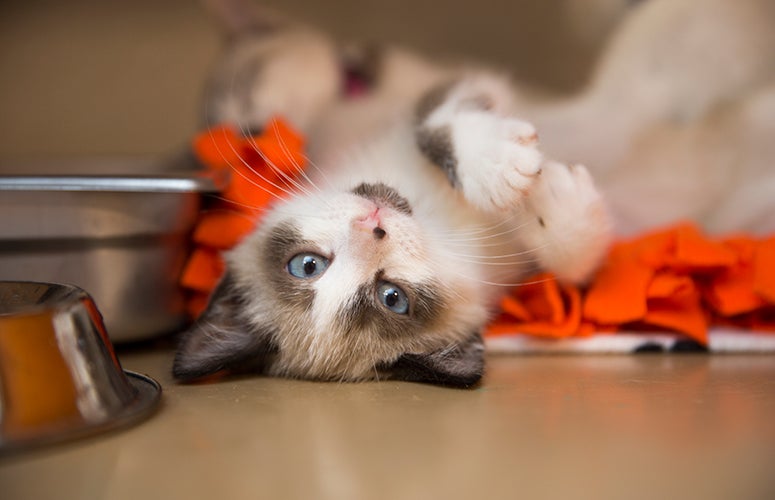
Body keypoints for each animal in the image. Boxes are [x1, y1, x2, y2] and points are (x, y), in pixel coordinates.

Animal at [171, 0, 612, 386]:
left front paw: (494, 162)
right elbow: (577, 269)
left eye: (306, 264)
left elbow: (434, 119)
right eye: (393, 297)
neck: (434, 217)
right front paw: (552, 200)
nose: (374, 225)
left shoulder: (443, 90)